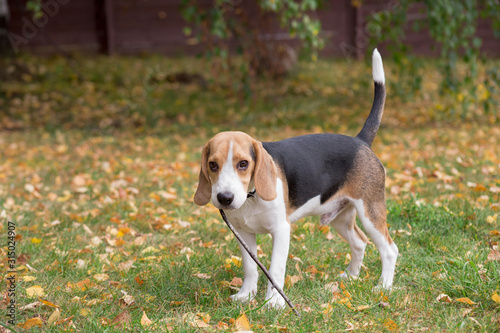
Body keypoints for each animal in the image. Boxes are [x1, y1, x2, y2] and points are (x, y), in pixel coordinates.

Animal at [192, 48, 398, 308]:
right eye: (212, 165)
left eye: (243, 164)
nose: (224, 198)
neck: (251, 197)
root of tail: (360, 140)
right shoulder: (243, 233)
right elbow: (250, 268)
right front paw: (246, 295)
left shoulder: (282, 230)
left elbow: (275, 270)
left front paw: (274, 303)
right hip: (339, 216)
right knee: (360, 242)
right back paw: (351, 277)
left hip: (370, 212)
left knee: (389, 249)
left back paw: (384, 287)